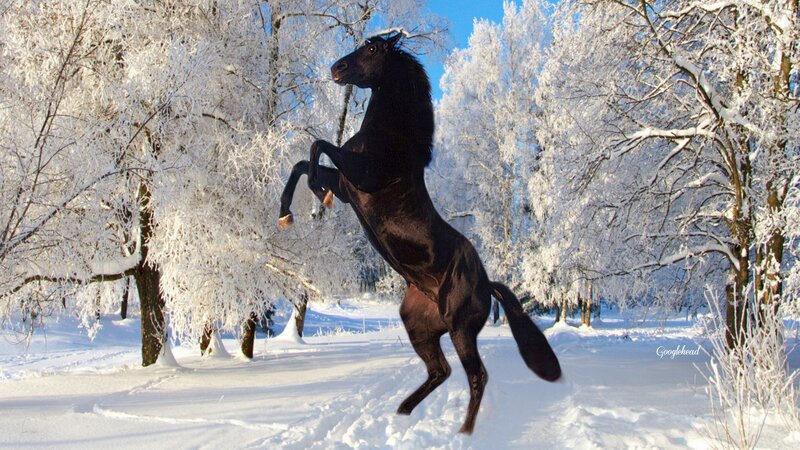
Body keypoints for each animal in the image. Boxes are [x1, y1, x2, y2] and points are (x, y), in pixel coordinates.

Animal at [278, 33, 561, 434]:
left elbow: (318, 147)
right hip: (419, 325)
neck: (391, 140)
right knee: (440, 371)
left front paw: (317, 194)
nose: (336, 68)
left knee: (476, 376)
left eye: (373, 49)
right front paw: (286, 213)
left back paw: (463, 432)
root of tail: (487, 283)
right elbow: (302, 164)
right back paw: (402, 411)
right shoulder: (349, 187)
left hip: (460, 329)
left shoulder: (360, 177)